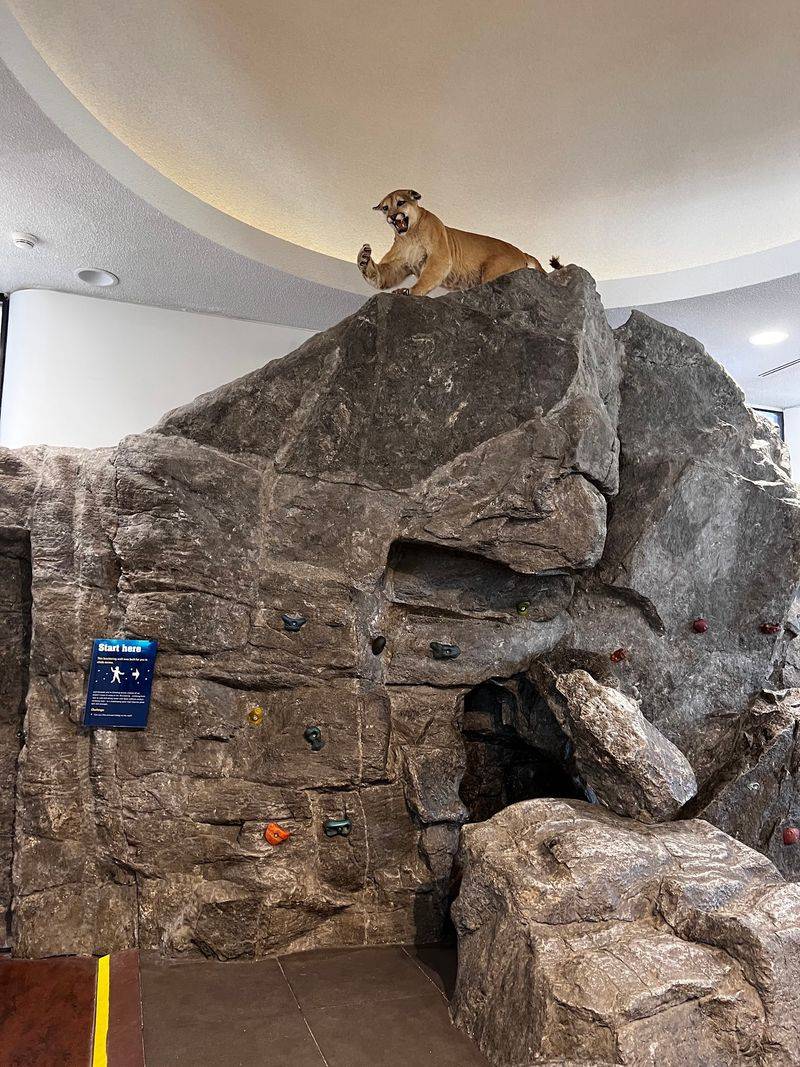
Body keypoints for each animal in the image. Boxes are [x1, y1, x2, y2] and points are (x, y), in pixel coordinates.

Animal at [357, 189, 560, 296]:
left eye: (400, 202)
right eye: (385, 208)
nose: (392, 217)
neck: (409, 236)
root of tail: (521, 251)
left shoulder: (439, 258)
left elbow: (427, 277)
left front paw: (410, 291)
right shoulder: (398, 266)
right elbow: (381, 276)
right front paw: (364, 258)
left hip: (494, 271)